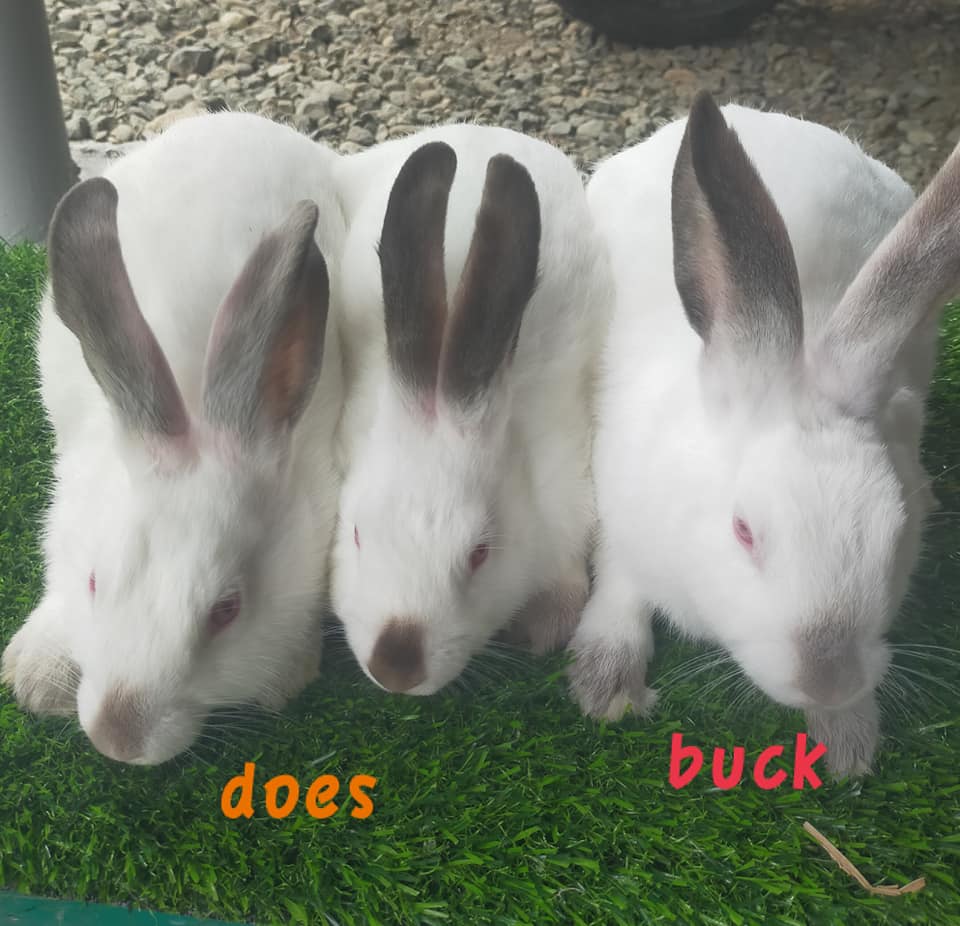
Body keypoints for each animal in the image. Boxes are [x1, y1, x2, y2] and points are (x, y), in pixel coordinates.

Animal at [569, 90, 960, 779]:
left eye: (896, 533)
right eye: (743, 530)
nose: (828, 678)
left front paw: (847, 737)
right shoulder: (621, 513)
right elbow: (619, 583)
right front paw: (606, 685)